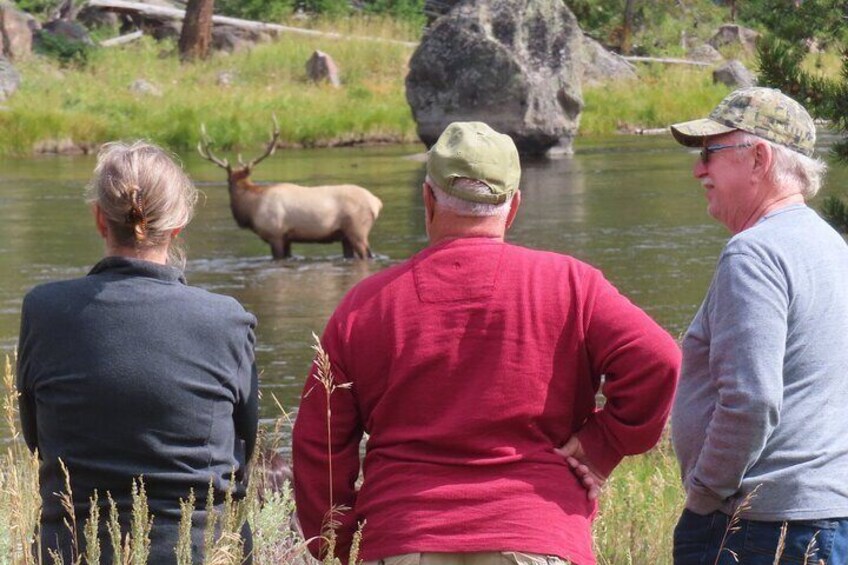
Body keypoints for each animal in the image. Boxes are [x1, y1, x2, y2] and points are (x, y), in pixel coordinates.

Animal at [197, 120, 382, 262]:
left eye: (228, 182)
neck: (252, 207)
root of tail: (377, 203)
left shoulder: (276, 234)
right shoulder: (288, 238)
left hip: (357, 229)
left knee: (367, 254)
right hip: (345, 235)